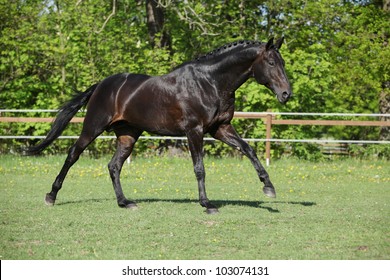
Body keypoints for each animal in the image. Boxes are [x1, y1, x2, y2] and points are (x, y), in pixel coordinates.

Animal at [25, 36, 290, 212]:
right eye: (271, 63)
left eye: (283, 62)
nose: (286, 94)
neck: (210, 82)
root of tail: (102, 84)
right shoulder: (194, 131)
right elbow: (199, 168)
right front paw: (207, 204)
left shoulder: (220, 129)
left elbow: (248, 149)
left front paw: (268, 187)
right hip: (93, 127)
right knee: (73, 155)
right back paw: (51, 196)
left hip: (128, 135)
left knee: (114, 166)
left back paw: (125, 202)